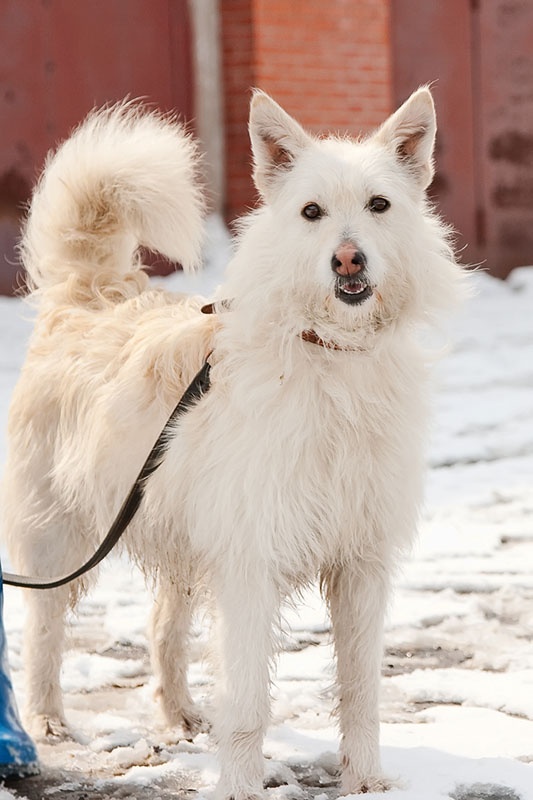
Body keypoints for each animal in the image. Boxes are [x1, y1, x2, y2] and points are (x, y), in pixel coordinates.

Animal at [2, 89, 464, 792]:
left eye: (380, 205)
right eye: (311, 212)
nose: (348, 258)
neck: (328, 354)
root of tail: (88, 295)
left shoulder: (361, 564)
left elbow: (360, 689)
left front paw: (364, 782)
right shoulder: (251, 563)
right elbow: (247, 702)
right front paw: (241, 788)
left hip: (179, 535)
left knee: (163, 629)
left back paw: (180, 716)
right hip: (59, 534)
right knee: (45, 631)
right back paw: (47, 720)